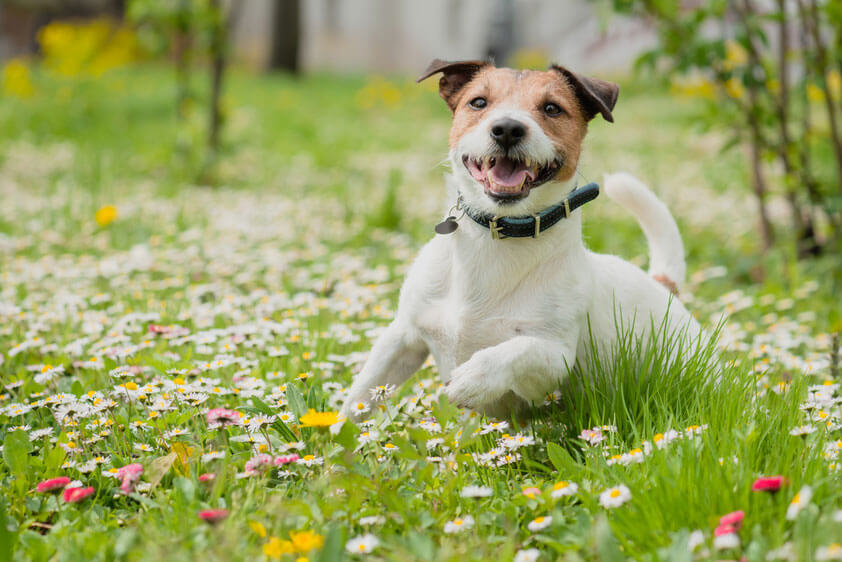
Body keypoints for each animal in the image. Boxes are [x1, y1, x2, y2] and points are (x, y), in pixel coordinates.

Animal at [338, 60, 700, 420]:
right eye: (479, 102)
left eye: (552, 108)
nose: (508, 129)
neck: (499, 234)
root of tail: (663, 286)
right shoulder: (403, 338)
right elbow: (358, 398)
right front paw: (337, 433)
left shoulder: (555, 362)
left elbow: (519, 349)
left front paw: (474, 377)